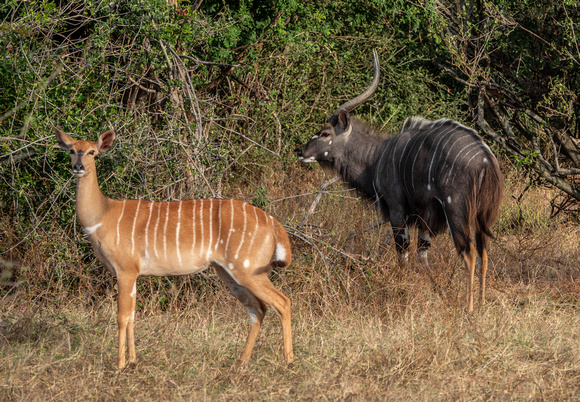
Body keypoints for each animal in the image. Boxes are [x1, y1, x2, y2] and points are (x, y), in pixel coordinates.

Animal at [55, 128, 294, 370]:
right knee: (258, 309)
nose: (78, 167)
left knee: (282, 302)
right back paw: (241, 362)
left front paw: (120, 365)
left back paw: (288, 362)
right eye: (72, 150)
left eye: (92, 152)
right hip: (227, 272)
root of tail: (274, 224)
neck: (103, 215)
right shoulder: (133, 273)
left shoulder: (125, 269)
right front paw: (133, 361)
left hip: (247, 268)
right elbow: (132, 315)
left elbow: (122, 316)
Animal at [296, 50, 500, 312]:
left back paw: (470, 307)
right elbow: (422, 254)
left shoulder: (396, 209)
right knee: (484, 252)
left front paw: (400, 290)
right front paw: (438, 291)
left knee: (469, 253)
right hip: (483, 217)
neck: (377, 157)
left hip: (456, 212)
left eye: (324, 133)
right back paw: (483, 303)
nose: (300, 151)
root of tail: (485, 160)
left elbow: (402, 251)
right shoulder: (425, 218)